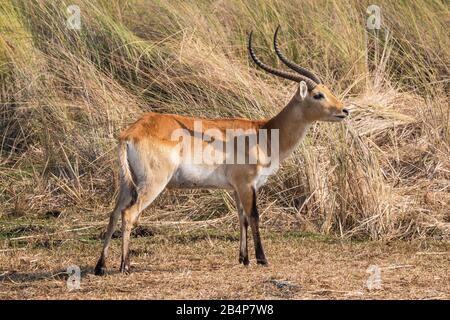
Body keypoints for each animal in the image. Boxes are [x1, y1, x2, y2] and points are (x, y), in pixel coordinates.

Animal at [94, 28, 348, 276]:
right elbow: (254, 216)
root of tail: (131, 132)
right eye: (318, 95)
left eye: (328, 90)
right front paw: (262, 259)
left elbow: (241, 218)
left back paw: (100, 267)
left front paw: (244, 259)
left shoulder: (236, 188)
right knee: (129, 214)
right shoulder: (247, 184)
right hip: (153, 183)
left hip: (128, 183)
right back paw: (125, 266)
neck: (264, 133)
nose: (345, 110)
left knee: (114, 213)